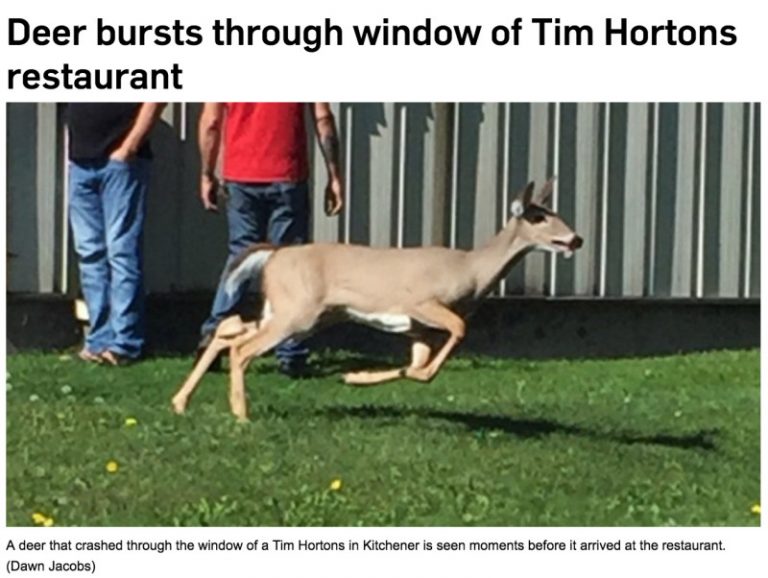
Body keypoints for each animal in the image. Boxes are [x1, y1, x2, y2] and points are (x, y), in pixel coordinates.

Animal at [171, 179, 582, 420]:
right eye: (537, 217)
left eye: (555, 211)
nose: (576, 239)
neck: (471, 270)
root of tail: (273, 255)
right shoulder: (422, 304)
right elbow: (453, 337)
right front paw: (354, 376)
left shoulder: (418, 329)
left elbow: (418, 368)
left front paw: (355, 377)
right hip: (298, 313)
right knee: (242, 347)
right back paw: (241, 414)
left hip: (298, 312)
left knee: (229, 327)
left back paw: (180, 402)